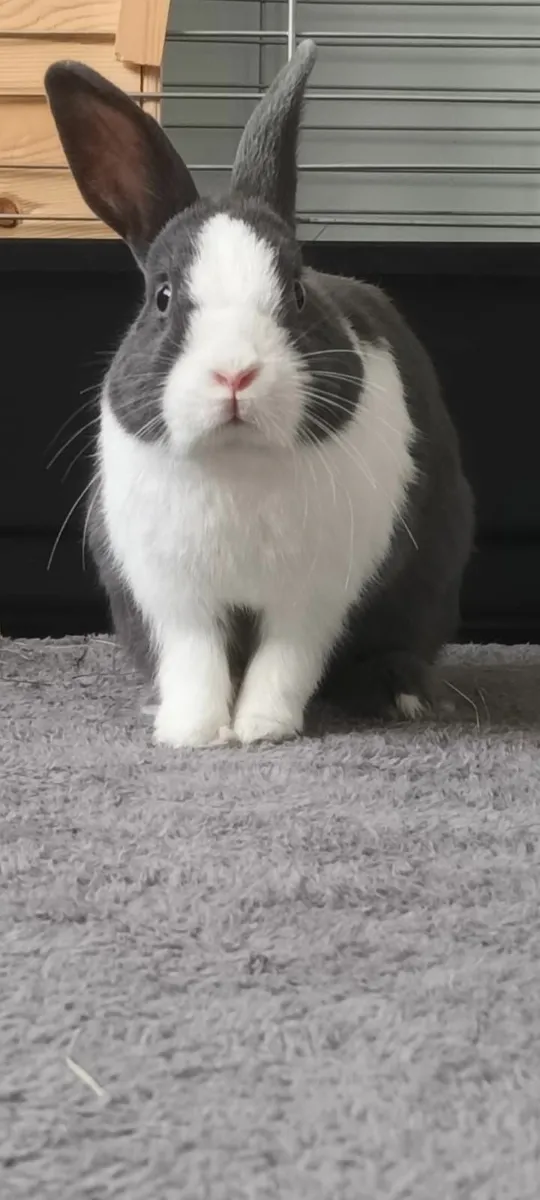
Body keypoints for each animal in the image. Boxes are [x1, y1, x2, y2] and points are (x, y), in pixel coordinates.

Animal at [45, 41, 474, 747]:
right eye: (162, 298)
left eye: (297, 292)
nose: (235, 374)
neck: (238, 462)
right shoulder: (173, 599)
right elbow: (194, 661)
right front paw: (190, 732)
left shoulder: (314, 599)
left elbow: (286, 661)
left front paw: (262, 730)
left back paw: (403, 695)